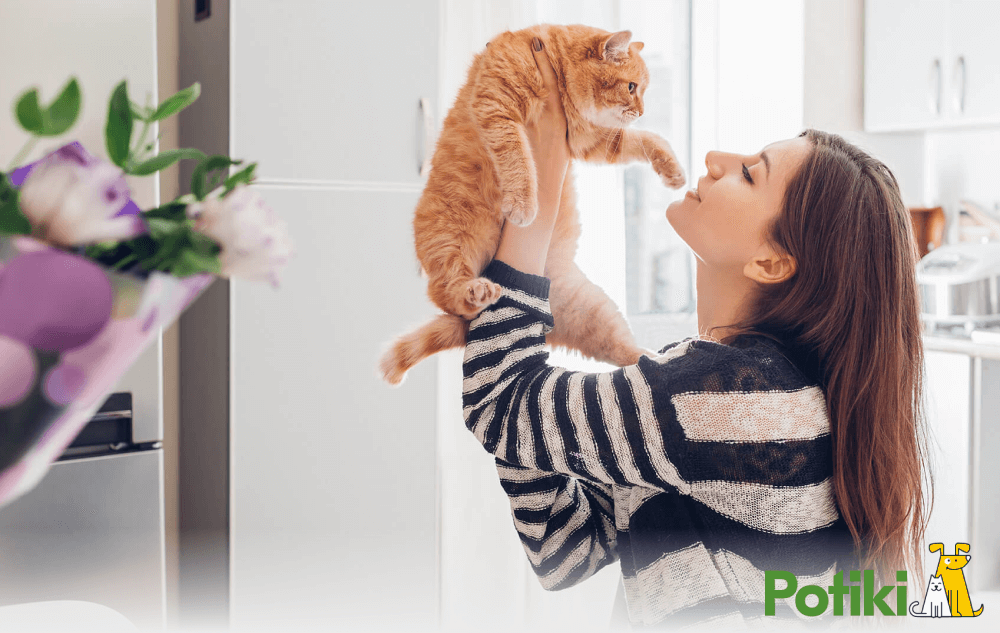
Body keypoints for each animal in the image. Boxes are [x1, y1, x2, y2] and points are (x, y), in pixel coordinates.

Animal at [378, 24, 684, 382]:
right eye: (632, 87)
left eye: (642, 90)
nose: (642, 111)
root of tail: (548, 326)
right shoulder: (498, 108)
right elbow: (518, 159)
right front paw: (524, 204)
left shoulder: (590, 141)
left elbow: (645, 140)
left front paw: (674, 171)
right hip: (449, 243)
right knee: (447, 293)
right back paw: (475, 292)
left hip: (595, 311)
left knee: (624, 351)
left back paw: (660, 358)